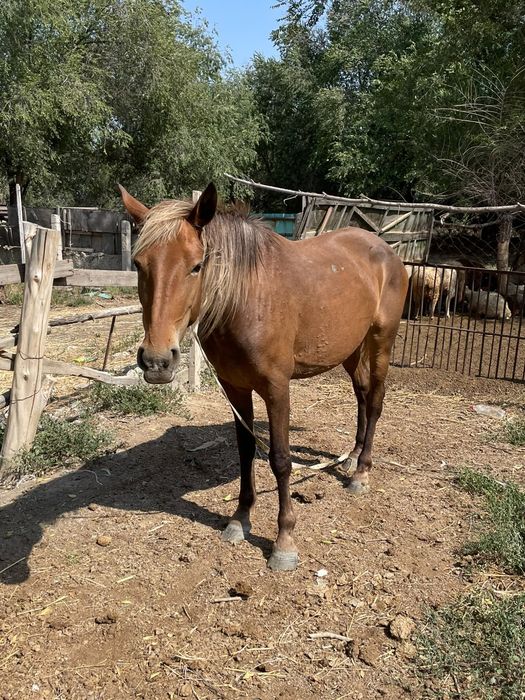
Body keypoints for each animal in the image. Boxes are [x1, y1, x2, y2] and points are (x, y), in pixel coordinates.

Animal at [120, 183, 409, 571]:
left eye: (196, 266)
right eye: (138, 264)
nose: (156, 362)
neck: (244, 300)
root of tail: (384, 249)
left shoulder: (276, 388)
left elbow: (281, 460)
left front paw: (284, 541)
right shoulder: (235, 388)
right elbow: (245, 452)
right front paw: (240, 519)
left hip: (380, 341)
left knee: (375, 402)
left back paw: (361, 473)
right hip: (350, 348)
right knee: (362, 395)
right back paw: (350, 457)